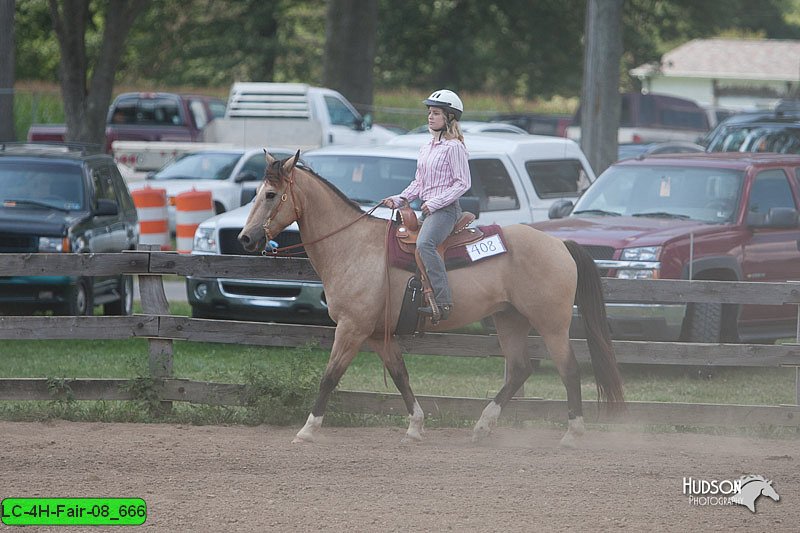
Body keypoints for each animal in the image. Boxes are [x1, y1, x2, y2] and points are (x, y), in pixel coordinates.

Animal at [238, 152, 624, 446]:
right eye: (255, 192)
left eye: (270, 194)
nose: (245, 238)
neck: (353, 246)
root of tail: (560, 244)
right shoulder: (378, 334)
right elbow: (400, 376)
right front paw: (415, 427)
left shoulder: (352, 328)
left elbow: (330, 376)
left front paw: (307, 430)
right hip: (509, 319)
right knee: (519, 369)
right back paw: (482, 426)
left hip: (551, 323)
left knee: (569, 369)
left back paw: (572, 433)